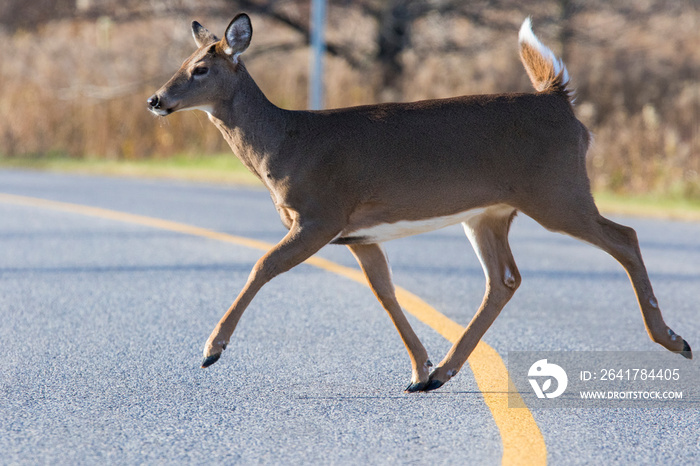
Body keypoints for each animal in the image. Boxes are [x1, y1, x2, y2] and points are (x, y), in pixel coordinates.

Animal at [148, 14, 688, 392]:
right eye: (178, 65)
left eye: (199, 69)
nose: (155, 100)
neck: (284, 144)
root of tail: (559, 99)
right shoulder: (358, 234)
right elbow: (385, 292)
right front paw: (418, 367)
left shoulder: (320, 215)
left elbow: (262, 265)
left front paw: (211, 349)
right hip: (490, 212)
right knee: (505, 279)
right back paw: (441, 374)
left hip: (558, 191)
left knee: (624, 237)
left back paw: (672, 339)